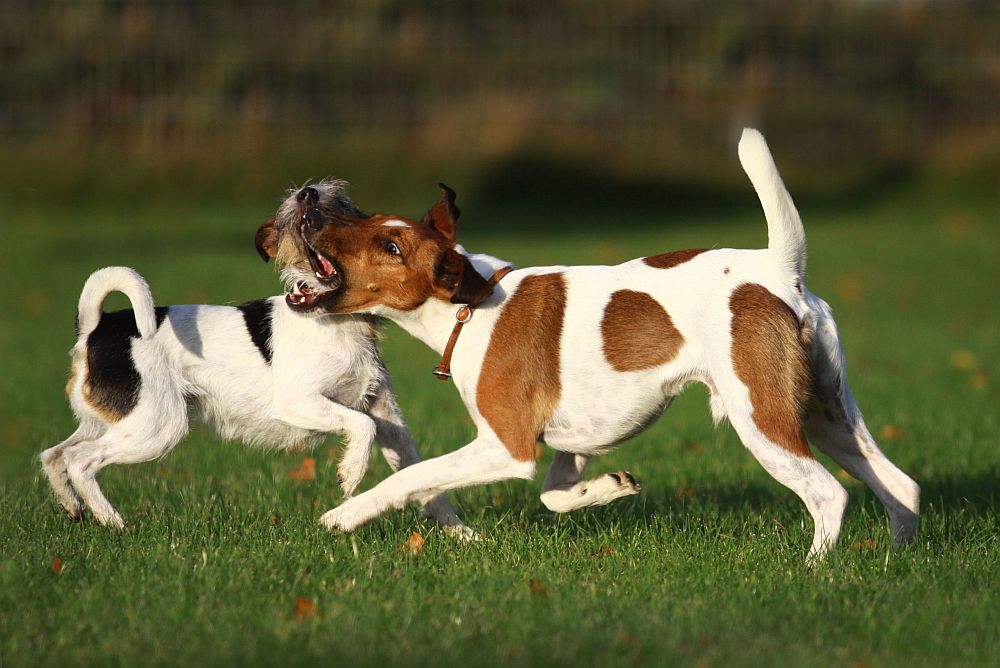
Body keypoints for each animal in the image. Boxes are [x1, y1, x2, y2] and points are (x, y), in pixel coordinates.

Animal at [41, 184, 466, 536]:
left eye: (347, 210)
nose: (309, 195)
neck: (339, 323)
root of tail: (95, 326)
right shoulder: (299, 402)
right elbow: (362, 426)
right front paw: (350, 473)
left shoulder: (388, 419)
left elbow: (423, 478)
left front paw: (461, 534)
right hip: (157, 427)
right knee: (80, 460)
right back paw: (111, 519)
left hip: (112, 421)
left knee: (54, 455)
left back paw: (73, 507)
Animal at [274, 129, 920, 560]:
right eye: (369, 220)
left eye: (390, 247)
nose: (310, 209)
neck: (468, 306)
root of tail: (779, 271)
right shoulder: (574, 443)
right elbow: (555, 497)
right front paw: (610, 488)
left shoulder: (507, 448)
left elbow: (409, 479)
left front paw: (342, 515)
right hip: (826, 415)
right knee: (902, 488)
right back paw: (895, 563)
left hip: (764, 419)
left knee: (828, 495)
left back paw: (814, 572)